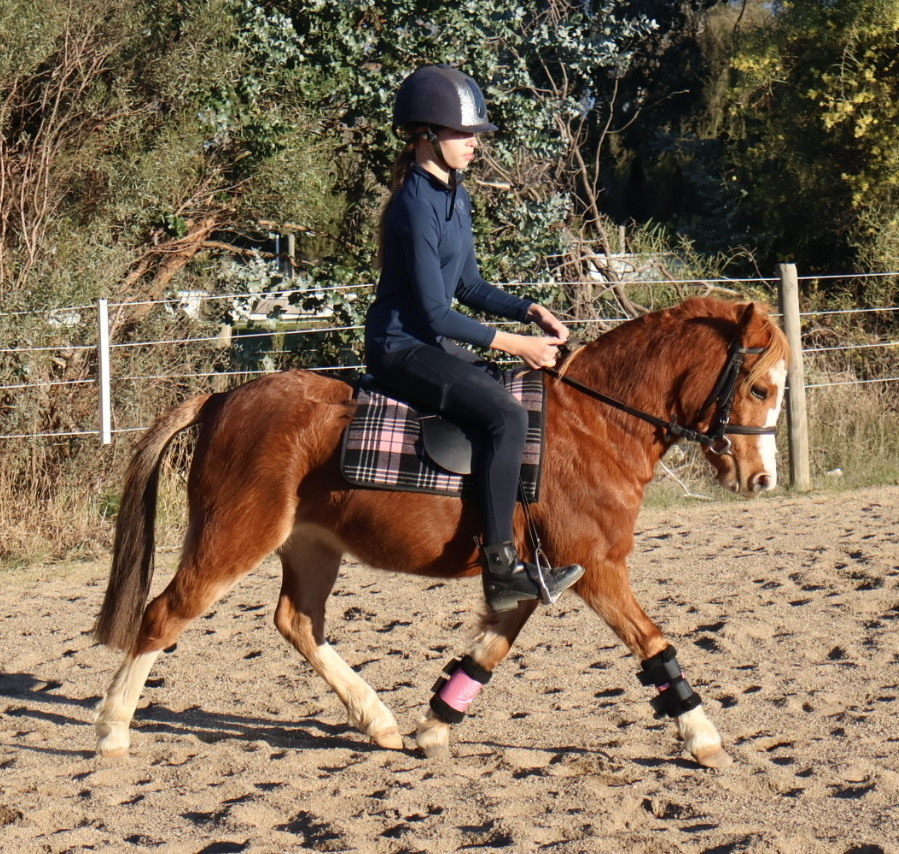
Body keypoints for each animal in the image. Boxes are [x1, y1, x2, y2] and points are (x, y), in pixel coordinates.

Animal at [92, 296, 789, 768]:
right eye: (759, 388)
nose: (761, 479)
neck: (596, 424)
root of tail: (221, 400)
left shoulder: (532, 579)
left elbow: (488, 653)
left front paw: (434, 727)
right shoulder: (597, 567)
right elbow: (652, 643)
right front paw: (703, 738)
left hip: (311, 547)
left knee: (299, 623)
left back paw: (378, 720)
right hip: (232, 539)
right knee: (164, 615)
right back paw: (112, 732)